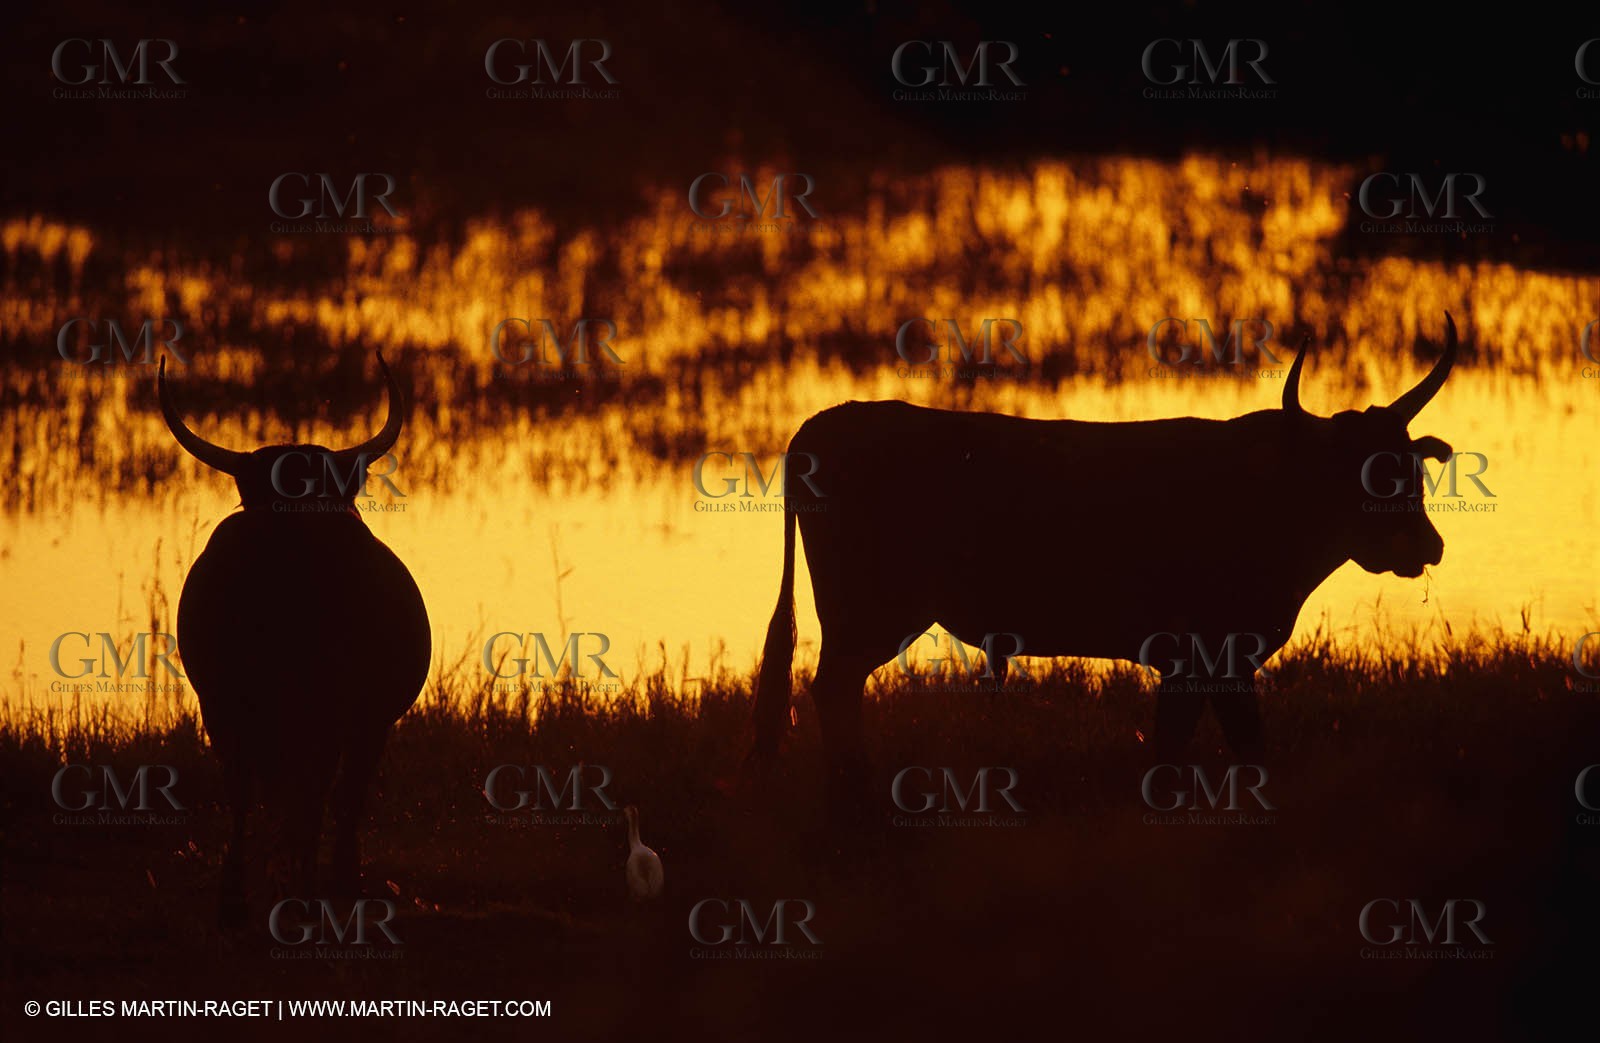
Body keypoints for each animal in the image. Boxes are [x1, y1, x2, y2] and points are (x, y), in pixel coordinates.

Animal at [751, 314, 1460, 805]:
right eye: (1361, 475)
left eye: (1409, 468)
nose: (1428, 546)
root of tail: (822, 423)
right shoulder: (1210, 653)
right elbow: (1214, 747)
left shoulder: (1205, 661)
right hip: (870, 613)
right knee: (833, 688)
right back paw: (856, 798)